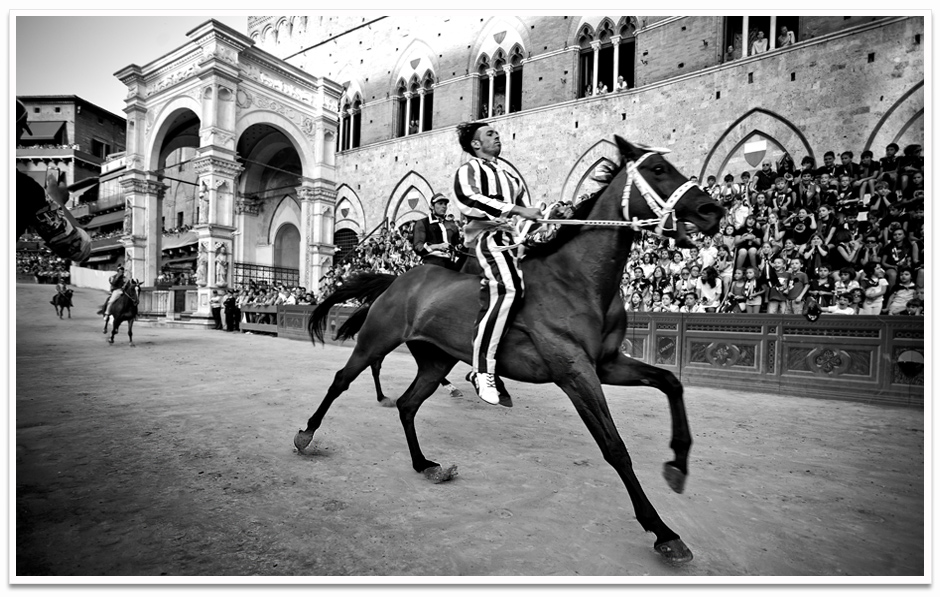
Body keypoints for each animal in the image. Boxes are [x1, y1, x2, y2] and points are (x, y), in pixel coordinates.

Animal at [298, 136, 724, 564]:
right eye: (658, 170)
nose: (712, 210)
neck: (577, 279)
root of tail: (399, 280)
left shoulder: (606, 364)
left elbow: (670, 382)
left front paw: (677, 464)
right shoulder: (575, 372)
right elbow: (615, 447)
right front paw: (662, 531)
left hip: (435, 361)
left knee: (408, 404)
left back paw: (425, 464)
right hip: (376, 340)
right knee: (342, 380)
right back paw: (306, 434)